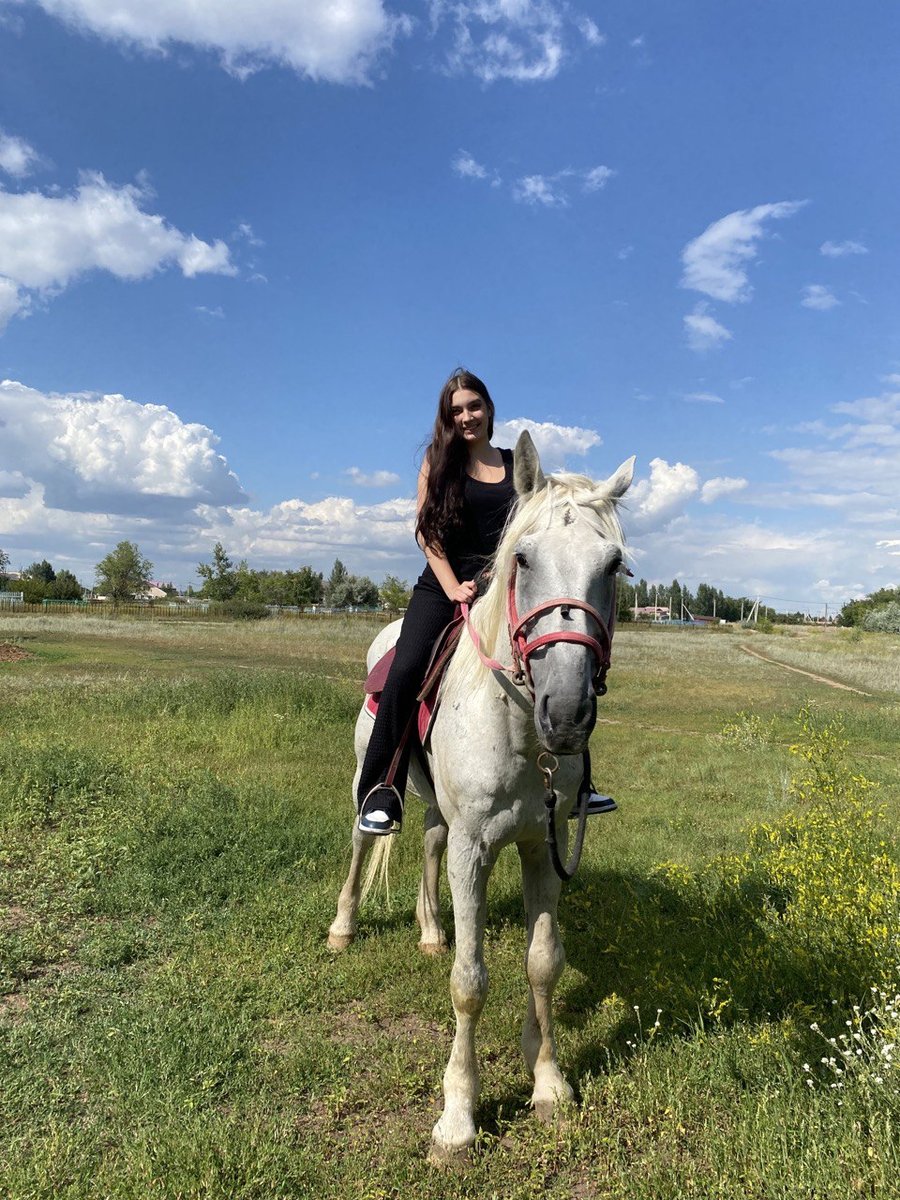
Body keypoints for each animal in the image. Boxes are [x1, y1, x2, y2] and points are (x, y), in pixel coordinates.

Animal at [328, 430, 634, 1161]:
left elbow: (544, 963)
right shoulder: (476, 849)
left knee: (429, 843)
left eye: (613, 567)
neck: (520, 732)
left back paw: (431, 930)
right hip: (367, 779)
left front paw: (548, 1083)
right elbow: (470, 984)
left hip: (441, 811)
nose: (567, 712)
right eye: (522, 558)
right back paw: (343, 928)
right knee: (361, 841)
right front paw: (458, 1117)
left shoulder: (541, 847)